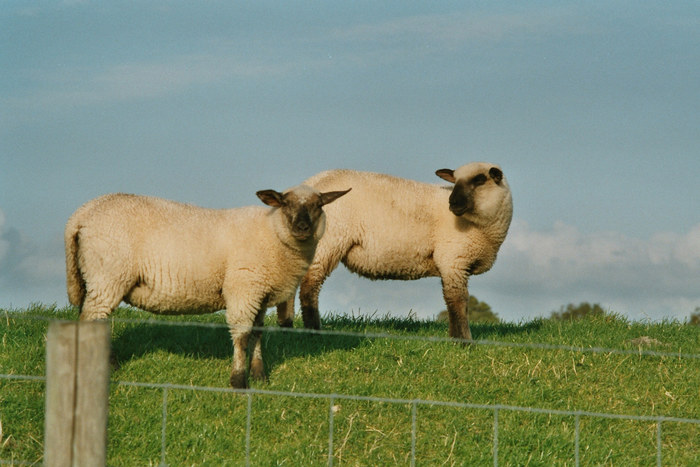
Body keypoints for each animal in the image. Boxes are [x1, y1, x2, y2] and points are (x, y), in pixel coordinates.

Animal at [65, 186, 350, 388]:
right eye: (286, 203)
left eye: (318, 206)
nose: (302, 227)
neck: (272, 233)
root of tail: (81, 214)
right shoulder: (243, 289)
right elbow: (242, 335)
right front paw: (239, 382)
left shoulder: (260, 293)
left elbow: (258, 334)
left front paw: (260, 375)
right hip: (107, 275)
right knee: (92, 318)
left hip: (96, 277)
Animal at [276, 164, 512, 340]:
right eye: (454, 181)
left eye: (480, 180)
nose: (452, 203)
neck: (482, 227)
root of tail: (310, 184)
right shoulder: (453, 260)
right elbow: (458, 301)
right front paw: (463, 341)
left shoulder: (453, 263)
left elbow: (452, 300)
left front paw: (455, 338)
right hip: (328, 241)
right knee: (309, 287)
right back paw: (313, 331)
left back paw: (286, 326)